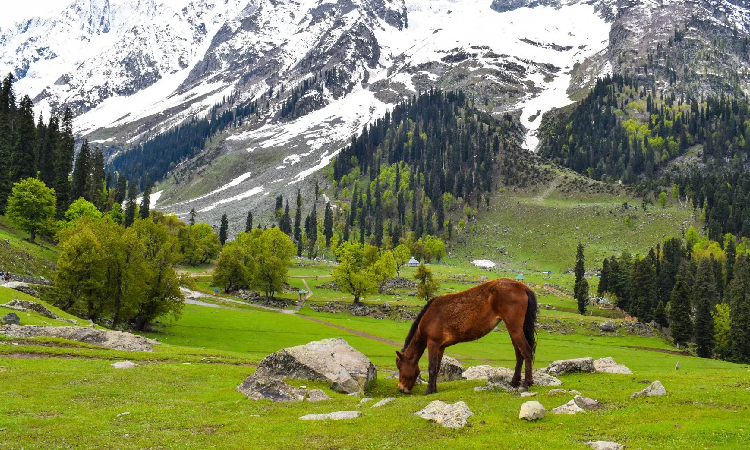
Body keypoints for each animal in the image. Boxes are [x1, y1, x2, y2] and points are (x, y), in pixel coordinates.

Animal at [396, 278, 536, 394]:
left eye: (400, 366)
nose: (401, 389)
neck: (430, 315)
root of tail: (522, 287)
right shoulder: (440, 347)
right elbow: (437, 367)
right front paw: (434, 389)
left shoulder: (432, 343)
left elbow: (431, 367)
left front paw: (428, 391)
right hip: (513, 331)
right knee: (519, 354)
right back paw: (514, 382)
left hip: (514, 329)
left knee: (527, 351)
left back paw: (526, 384)